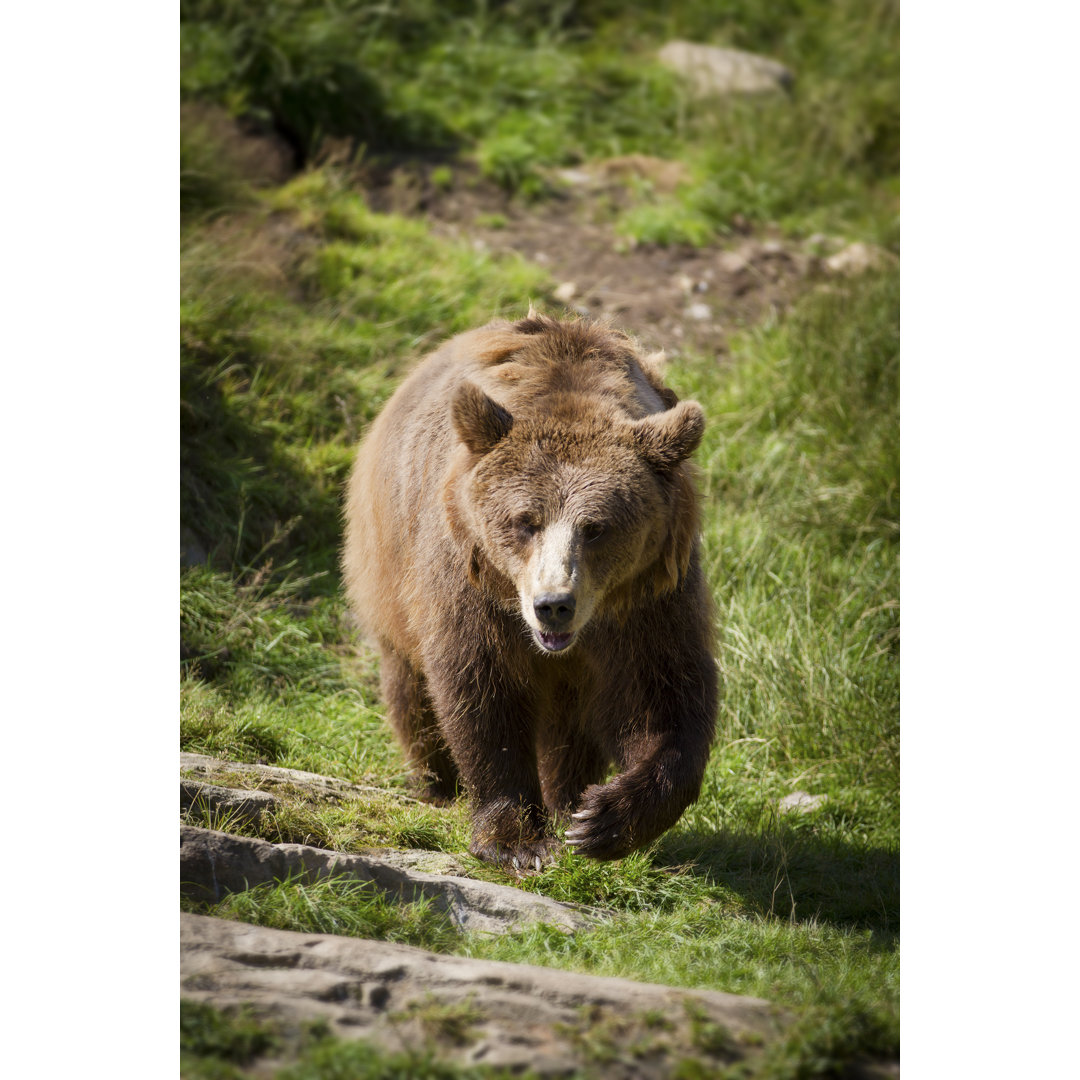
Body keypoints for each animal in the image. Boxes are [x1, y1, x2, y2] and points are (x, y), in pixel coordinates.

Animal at [343, 308, 717, 872]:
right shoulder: (471, 584)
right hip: (388, 568)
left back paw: (564, 801)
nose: (553, 606)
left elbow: (664, 696)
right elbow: (481, 691)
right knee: (409, 685)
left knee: (569, 729)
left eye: (596, 527)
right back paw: (435, 782)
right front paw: (517, 840)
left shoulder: (649, 597)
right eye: (525, 521)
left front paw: (600, 819)